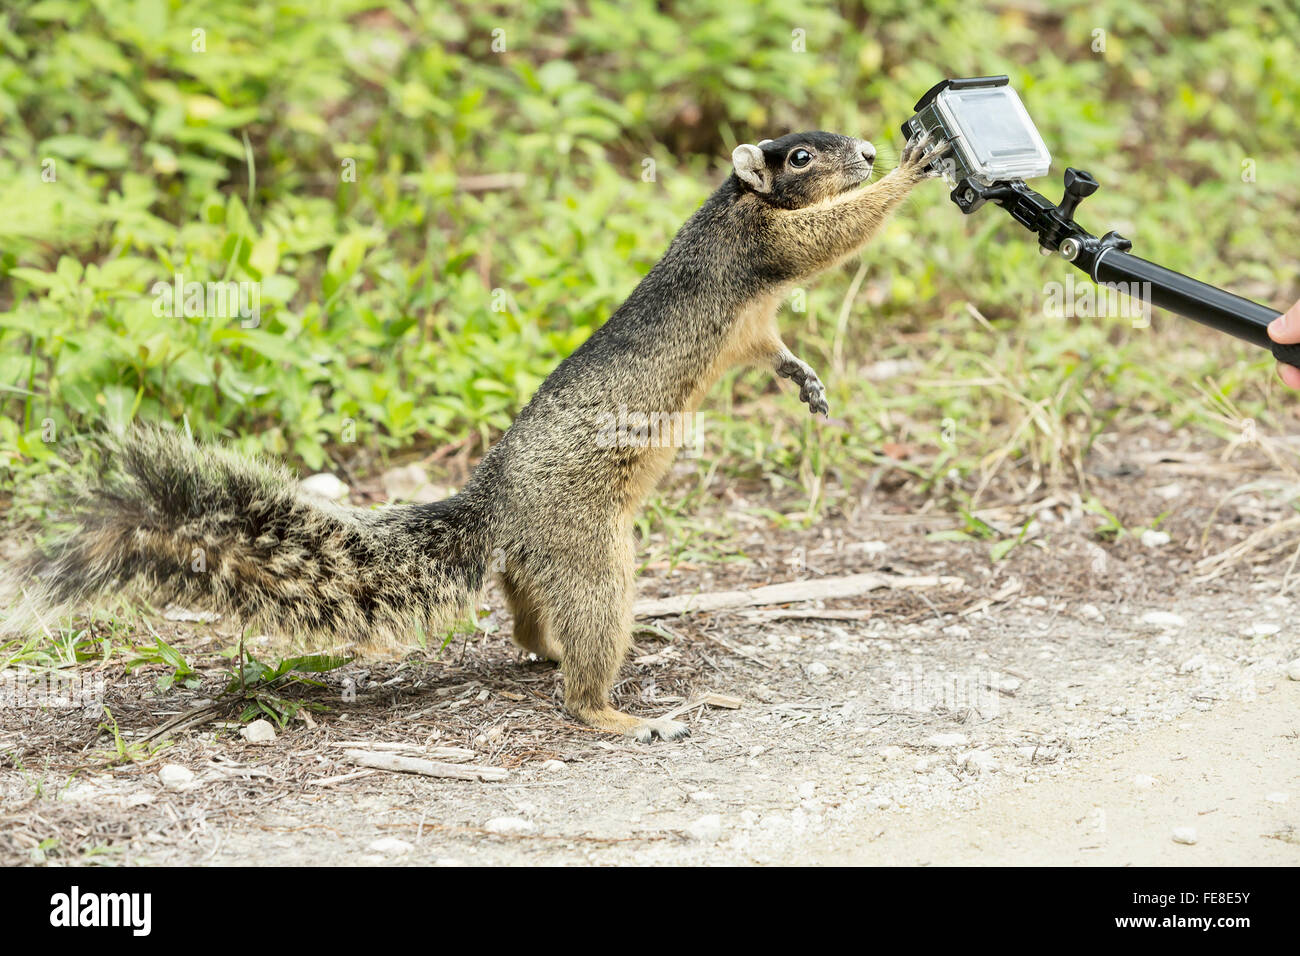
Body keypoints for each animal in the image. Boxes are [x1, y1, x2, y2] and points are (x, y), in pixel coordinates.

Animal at [5, 128, 951, 738]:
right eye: (802, 155)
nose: (867, 153)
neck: (729, 206)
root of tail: (496, 503)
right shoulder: (760, 249)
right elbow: (831, 232)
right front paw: (912, 169)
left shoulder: (754, 324)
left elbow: (776, 350)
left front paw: (808, 383)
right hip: (590, 551)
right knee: (584, 650)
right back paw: (614, 715)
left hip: (541, 562)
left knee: (529, 622)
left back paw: (546, 655)